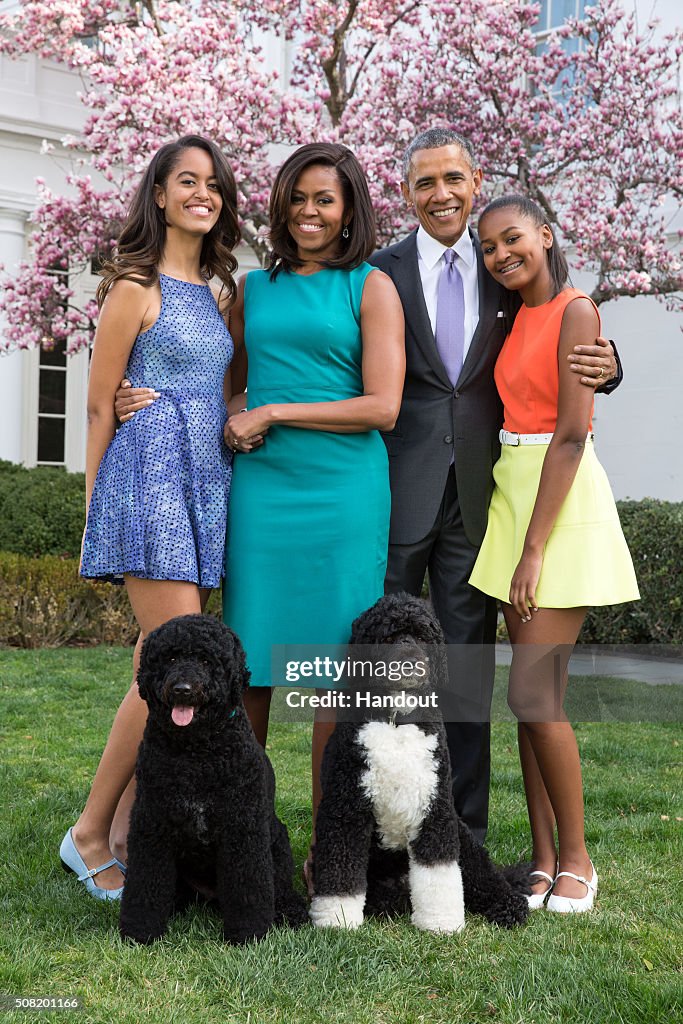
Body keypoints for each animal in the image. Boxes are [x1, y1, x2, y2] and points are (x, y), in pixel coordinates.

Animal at [119, 614, 307, 942]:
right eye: (170, 657)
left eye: (207, 660)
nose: (182, 689)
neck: (196, 754)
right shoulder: (152, 823)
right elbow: (145, 882)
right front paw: (140, 930)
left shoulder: (242, 828)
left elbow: (248, 888)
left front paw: (248, 932)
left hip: (277, 840)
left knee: (280, 887)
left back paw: (290, 910)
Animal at [311, 593, 532, 937]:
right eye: (389, 637)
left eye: (423, 636)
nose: (410, 660)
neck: (397, 719)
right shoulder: (346, 808)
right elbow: (341, 870)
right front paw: (337, 920)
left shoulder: (435, 809)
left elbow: (438, 871)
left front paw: (441, 922)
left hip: (463, 837)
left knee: (485, 876)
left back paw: (508, 905)